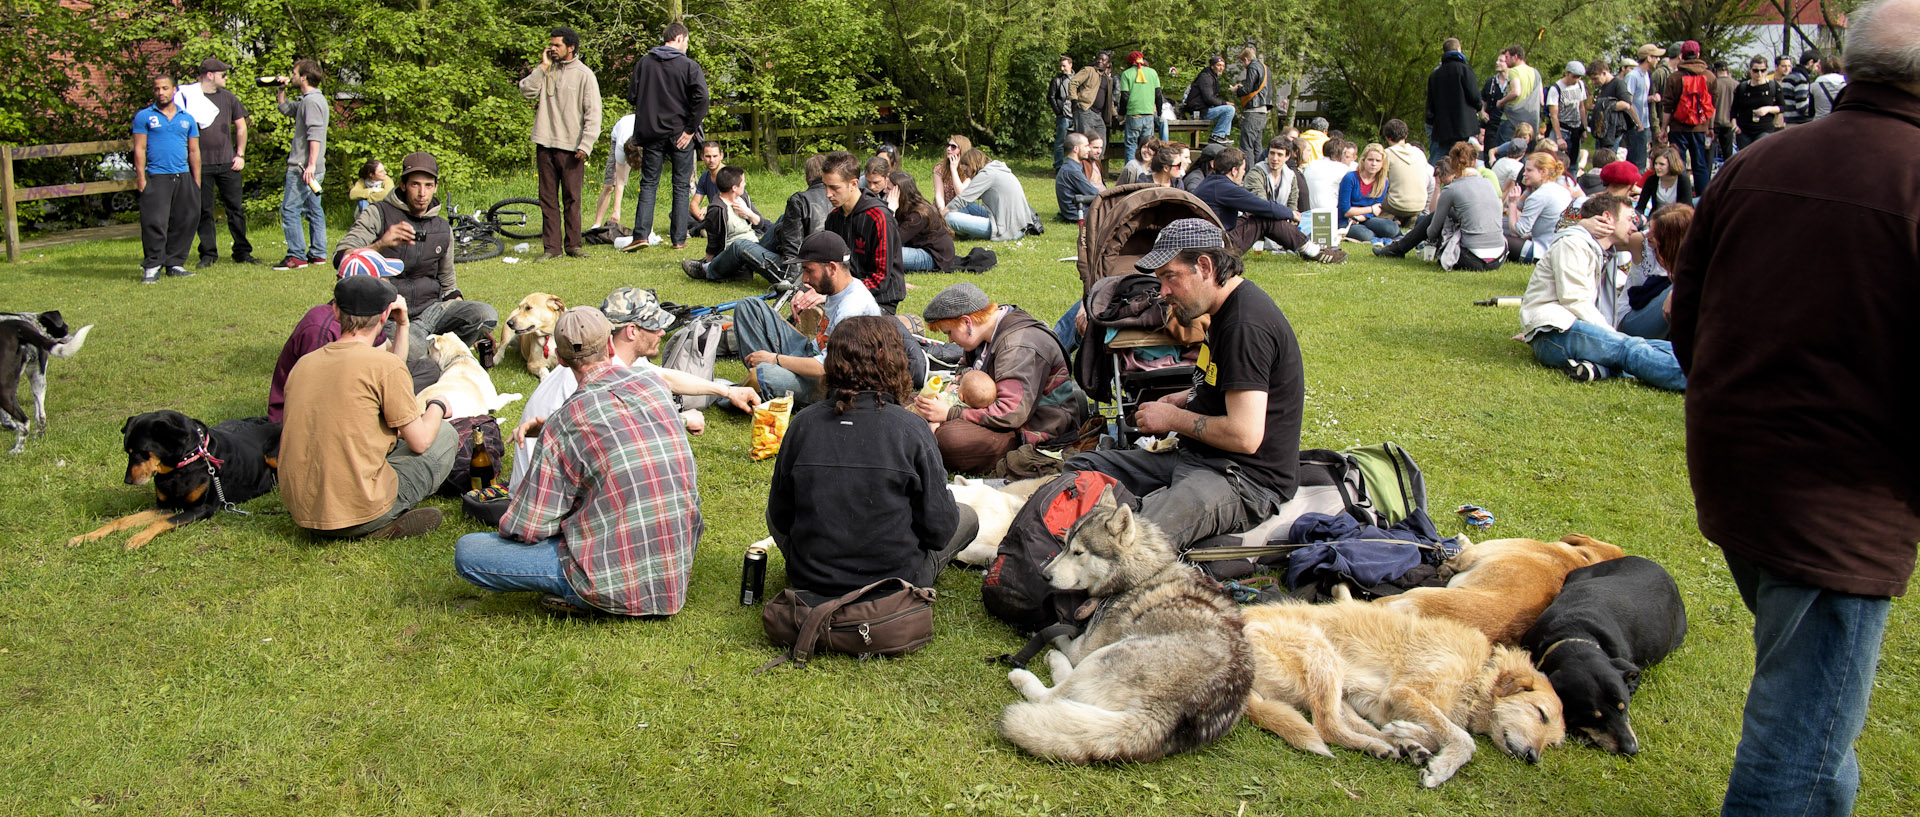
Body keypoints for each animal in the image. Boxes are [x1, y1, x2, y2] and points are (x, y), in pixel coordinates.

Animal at [0, 310, 92, 456]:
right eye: (65, 328)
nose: (70, 336)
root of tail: (18, 325)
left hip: (3, 388)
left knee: (25, 422)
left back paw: (17, 450)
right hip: (38, 381)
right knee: (41, 417)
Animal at [68, 412, 280, 552]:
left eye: (143, 452)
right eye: (127, 452)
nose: (127, 480)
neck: (182, 465)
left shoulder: (202, 508)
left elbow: (163, 522)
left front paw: (137, 538)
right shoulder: (165, 505)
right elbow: (122, 520)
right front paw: (84, 537)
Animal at [998, 490, 1251, 767]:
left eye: (1078, 552)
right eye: (1063, 545)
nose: (1044, 575)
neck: (1143, 576)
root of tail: (1169, 712)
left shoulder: (1085, 647)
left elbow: (1062, 632)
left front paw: (1041, 628)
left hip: (1105, 654)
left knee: (1055, 695)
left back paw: (1035, 671)